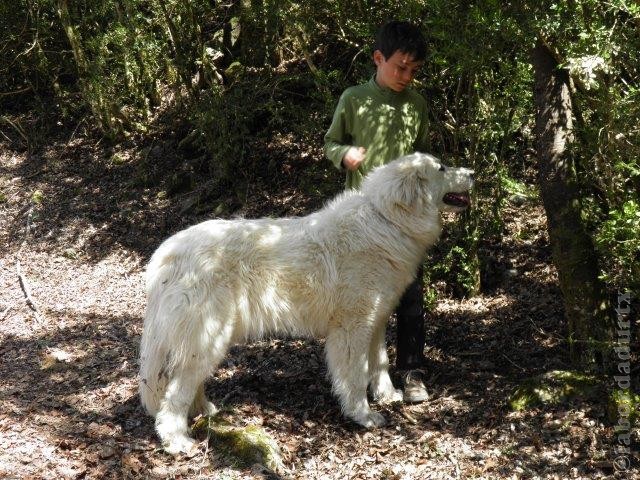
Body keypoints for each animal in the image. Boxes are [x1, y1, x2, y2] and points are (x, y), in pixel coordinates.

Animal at [138, 154, 472, 454]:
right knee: (173, 395)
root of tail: (166, 253)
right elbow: (355, 375)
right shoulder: (352, 328)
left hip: (207, 339)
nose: (472, 173)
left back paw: (204, 410)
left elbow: (380, 363)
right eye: (441, 168)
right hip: (207, 335)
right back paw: (177, 442)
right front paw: (362, 415)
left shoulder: (375, 321)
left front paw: (388, 395)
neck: (386, 218)